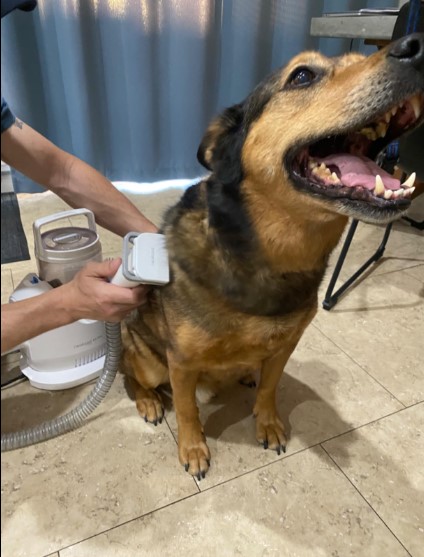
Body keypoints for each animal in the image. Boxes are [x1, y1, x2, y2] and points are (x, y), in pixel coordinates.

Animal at [121, 33, 424, 479]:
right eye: (302, 75)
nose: (416, 46)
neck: (274, 255)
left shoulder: (286, 347)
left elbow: (270, 387)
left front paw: (267, 423)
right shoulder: (181, 362)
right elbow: (188, 408)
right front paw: (193, 448)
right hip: (146, 357)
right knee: (131, 377)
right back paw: (148, 401)